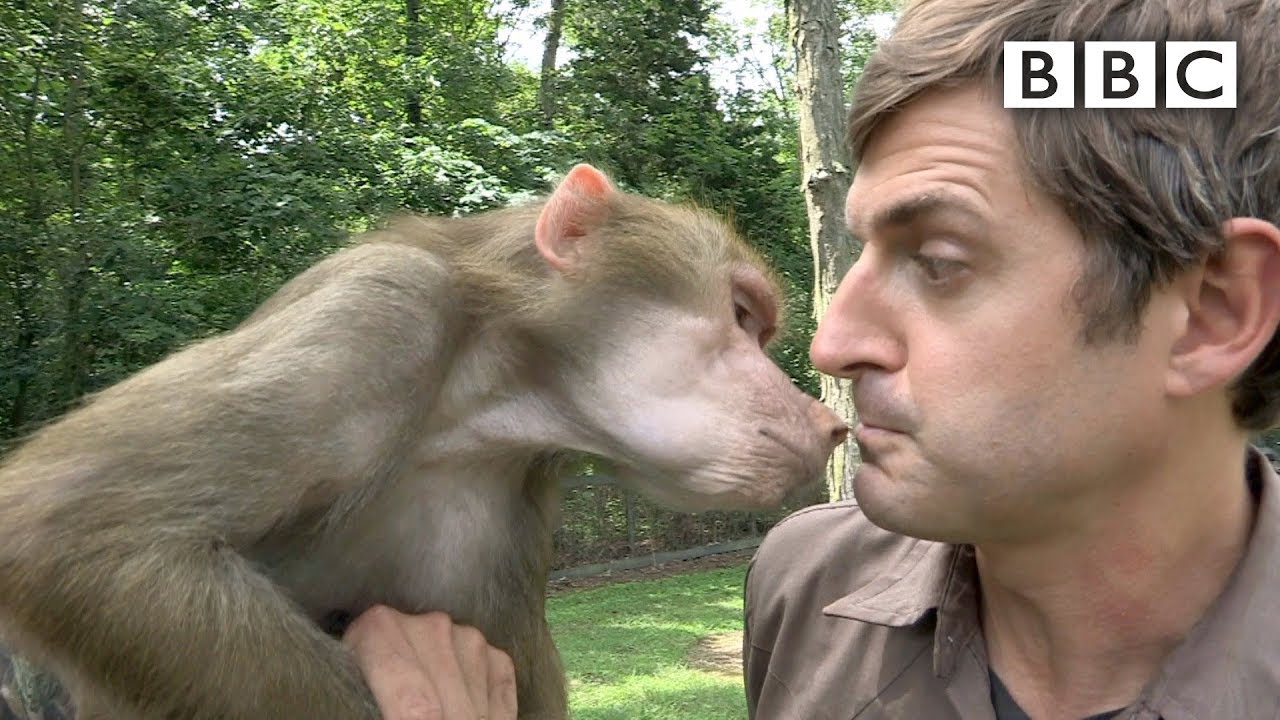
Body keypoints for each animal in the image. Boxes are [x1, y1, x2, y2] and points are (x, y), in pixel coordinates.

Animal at [0, 163, 847, 720]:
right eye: (741, 316)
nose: (828, 420)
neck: (472, 411)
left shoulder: (499, 509)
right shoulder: (381, 310)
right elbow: (71, 533)